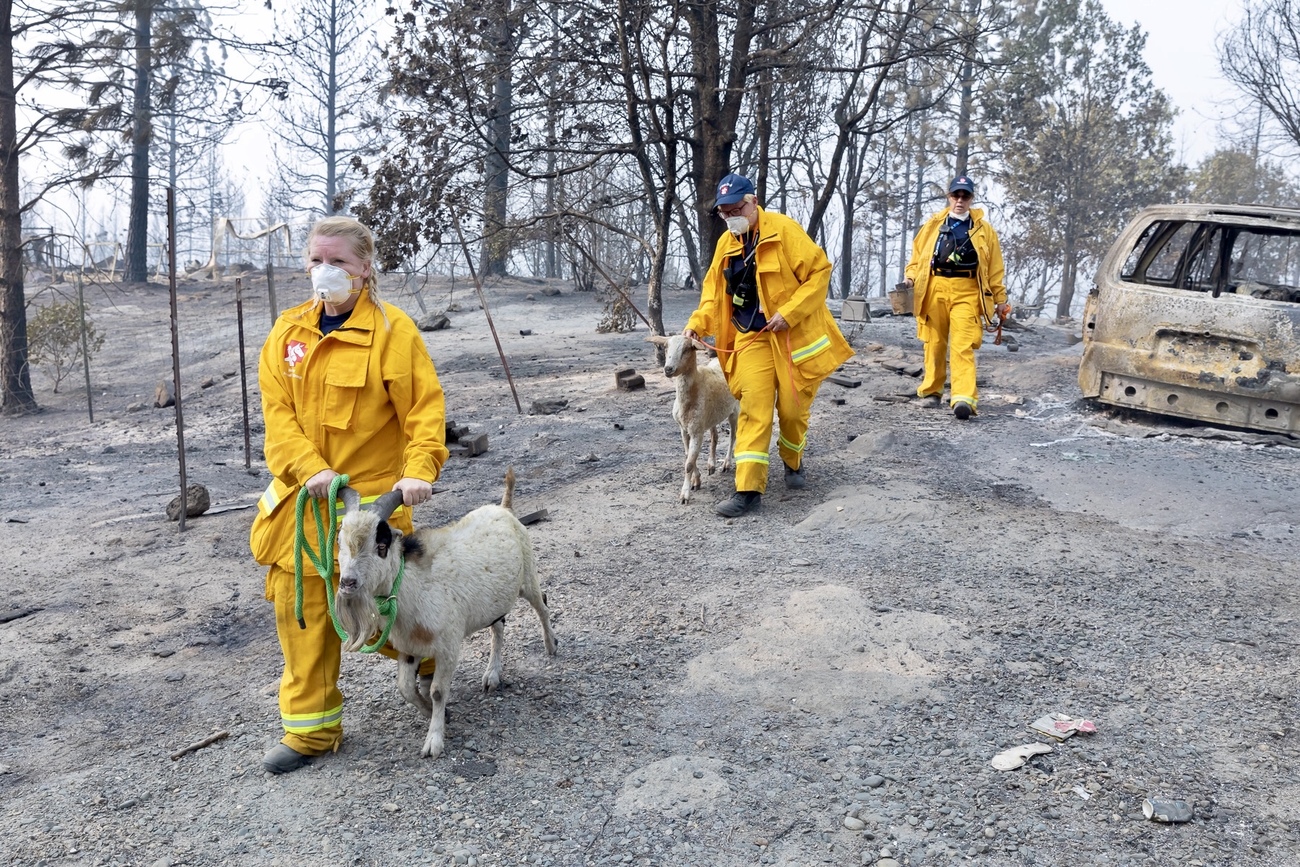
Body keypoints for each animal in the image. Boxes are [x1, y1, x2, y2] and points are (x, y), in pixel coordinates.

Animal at [332, 470, 556, 764]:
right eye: (340, 541)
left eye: (381, 545)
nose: (348, 583)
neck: (415, 585)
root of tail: (504, 508)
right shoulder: (409, 648)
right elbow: (405, 688)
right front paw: (432, 712)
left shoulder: (448, 646)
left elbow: (438, 691)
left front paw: (434, 741)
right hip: (495, 602)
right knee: (498, 628)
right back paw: (492, 676)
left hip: (528, 578)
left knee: (542, 606)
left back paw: (551, 646)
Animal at [650, 335, 743, 504]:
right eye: (666, 347)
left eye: (687, 349)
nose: (668, 369)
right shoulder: (684, 429)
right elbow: (688, 456)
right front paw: (696, 480)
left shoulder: (696, 431)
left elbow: (689, 463)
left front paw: (685, 494)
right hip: (710, 416)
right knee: (715, 435)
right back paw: (711, 464)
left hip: (734, 411)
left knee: (733, 436)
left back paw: (726, 463)